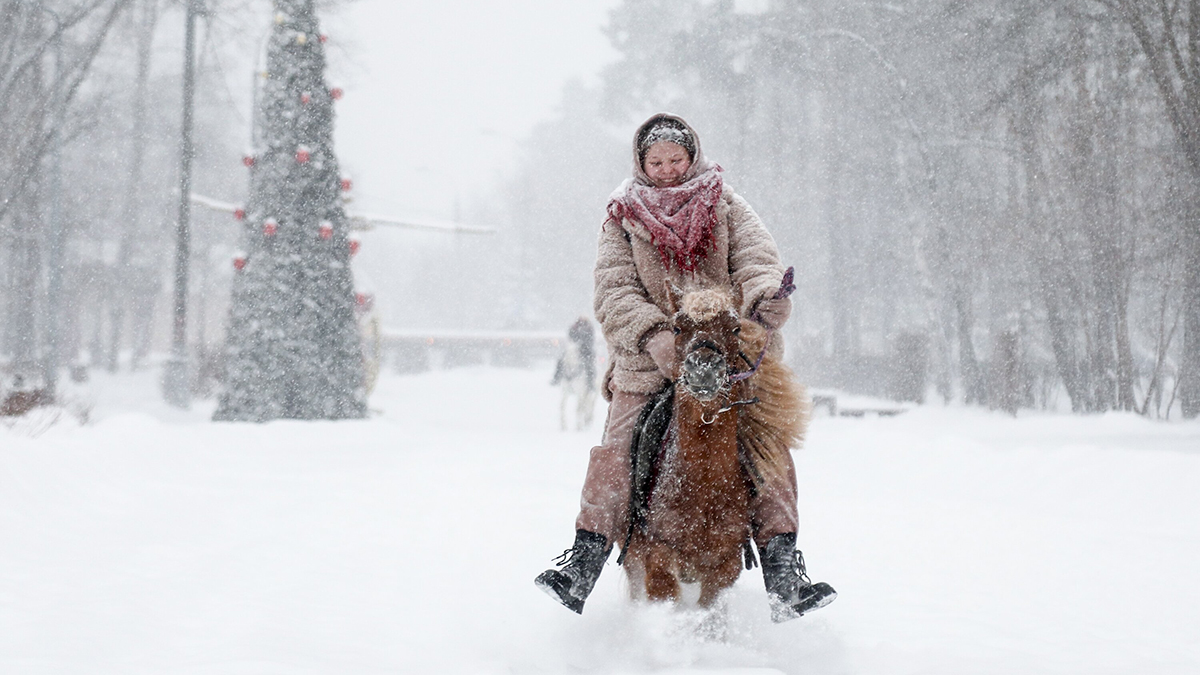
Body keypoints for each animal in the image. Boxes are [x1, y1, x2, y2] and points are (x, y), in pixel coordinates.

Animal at [619, 281, 806, 607]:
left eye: (734, 328)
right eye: (677, 327)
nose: (704, 367)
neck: (702, 482)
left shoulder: (723, 566)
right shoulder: (659, 555)